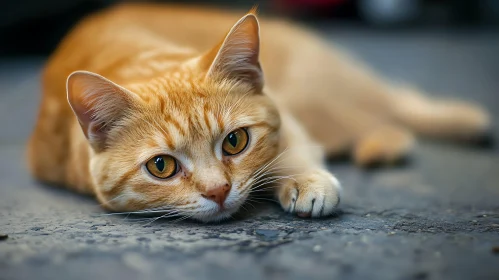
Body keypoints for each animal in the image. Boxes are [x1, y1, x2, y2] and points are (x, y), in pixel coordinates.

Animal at [25, 2, 490, 221]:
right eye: (161, 166)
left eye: (235, 141)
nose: (217, 192)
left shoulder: (288, 115)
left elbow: (292, 150)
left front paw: (305, 181)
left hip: (317, 94)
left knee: (394, 109)